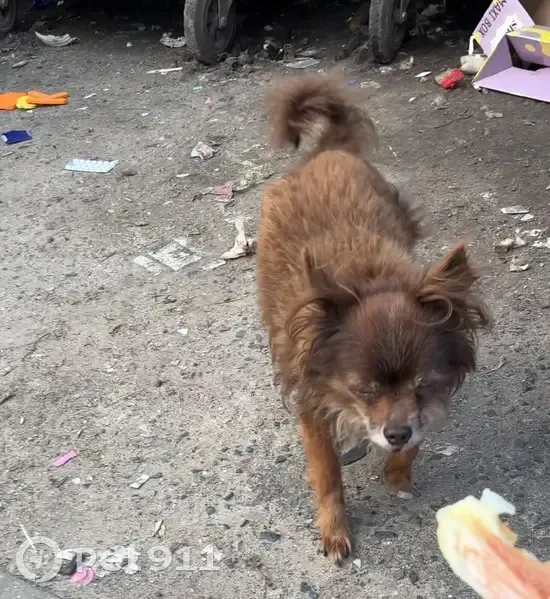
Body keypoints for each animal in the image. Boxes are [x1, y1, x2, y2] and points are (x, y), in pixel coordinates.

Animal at [255, 74, 490, 563]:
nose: (395, 432)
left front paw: (399, 471)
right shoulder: (313, 406)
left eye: (421, 384)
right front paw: (335, 530)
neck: (369, 281)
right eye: (364, 389)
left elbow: (418, 437)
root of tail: (327, 151)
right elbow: (328, 475)